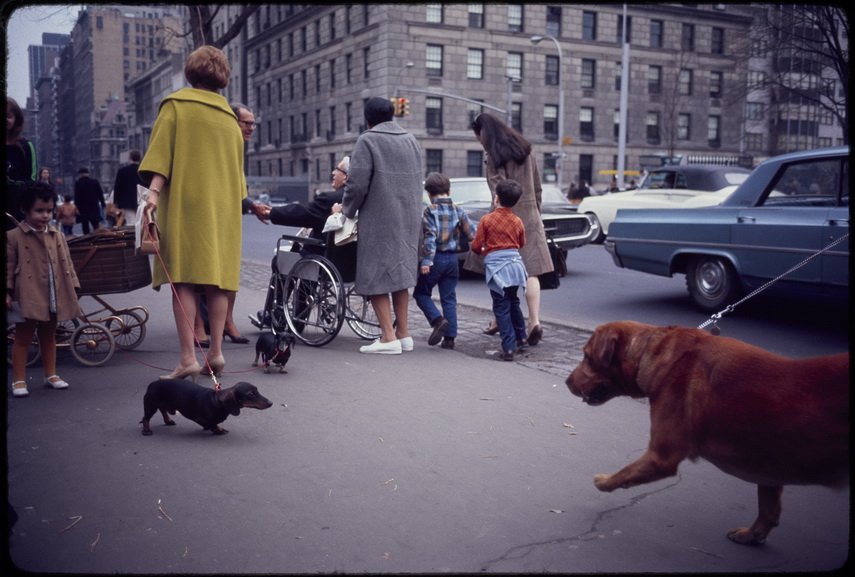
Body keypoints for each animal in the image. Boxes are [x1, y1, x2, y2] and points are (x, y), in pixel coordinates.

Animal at [568, 320, 848, 544]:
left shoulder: (660, 456)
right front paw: (753, 534)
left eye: (586, 356)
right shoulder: (769, 466)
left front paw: (604, 481)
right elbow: (768, 506)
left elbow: (625, 472)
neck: (657, 355)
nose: (567, 382)